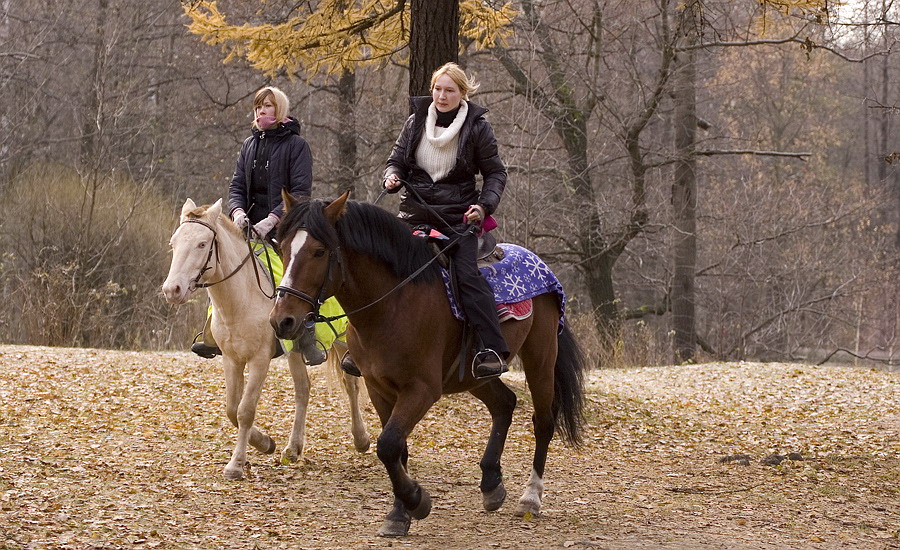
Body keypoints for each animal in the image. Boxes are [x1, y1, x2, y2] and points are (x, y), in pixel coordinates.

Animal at [162, 201, 370, 480]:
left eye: (202, 244)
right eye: (174, 243)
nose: (172, 290)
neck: (241, 300)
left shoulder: (260, 359)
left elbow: (245, 410)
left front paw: (236, 465)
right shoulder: (232, 359)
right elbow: (232, 409)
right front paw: (265, 443)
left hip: (342, 341)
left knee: (351, 384)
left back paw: (361, 440)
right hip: (295, 351)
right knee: (303, 390)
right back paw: (292, 449)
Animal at [270, 193, 588, 540]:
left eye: (319, 251)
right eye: (282, 247)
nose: (282, 321)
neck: (392, 304)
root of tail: (539, 263)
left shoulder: (421, 390)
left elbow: (388, 445)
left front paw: (416, 501)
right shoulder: (378, 388)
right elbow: (397, 449)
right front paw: (400, 514)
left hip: (540, 358)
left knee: (543, 422)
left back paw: (530, 497)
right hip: (474, 377)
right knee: (505, 403)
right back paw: (491, 484)